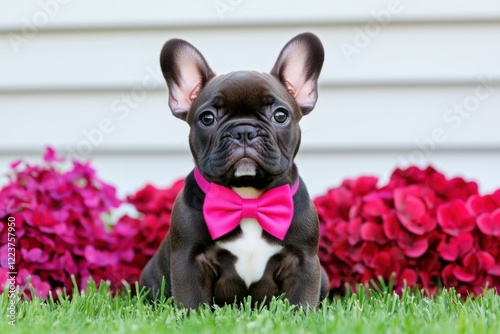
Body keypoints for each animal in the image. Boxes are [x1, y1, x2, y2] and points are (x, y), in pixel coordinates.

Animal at [140, 32, 328, 310]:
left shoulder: (304, 262)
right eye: (207, 118)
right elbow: (192, 301)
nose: (244, 131)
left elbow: (300, 301)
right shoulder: (188, 260)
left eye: (280, 115)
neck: (248, 197)